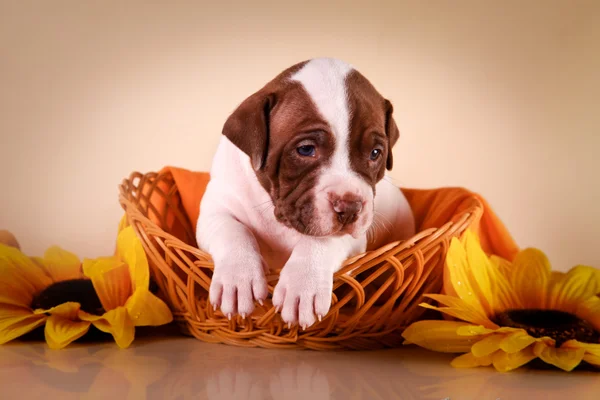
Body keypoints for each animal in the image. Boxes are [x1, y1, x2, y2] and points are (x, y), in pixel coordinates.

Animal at [196, 57, 412, 330]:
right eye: (306, 149)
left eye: (375, 153)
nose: (350, 207)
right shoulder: (215, 209)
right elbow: (233, 230)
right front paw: (238, 277)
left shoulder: (354, 238)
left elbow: (320, 241)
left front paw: (303, 284)